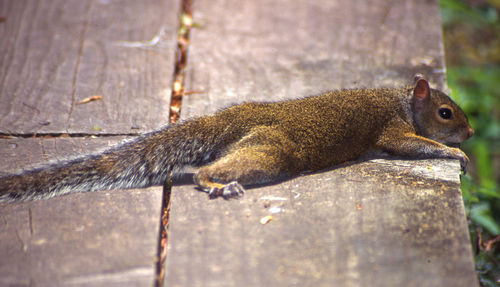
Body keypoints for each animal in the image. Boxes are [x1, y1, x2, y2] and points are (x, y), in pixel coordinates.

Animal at [0, 74, 472, 202]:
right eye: (446, 113)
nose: (469, 132)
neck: (402, 101)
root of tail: (243, 115)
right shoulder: (392, 129)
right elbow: (409, 144)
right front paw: (454, 152)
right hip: (271, 152)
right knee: (203, 172)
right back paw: (218, 184)